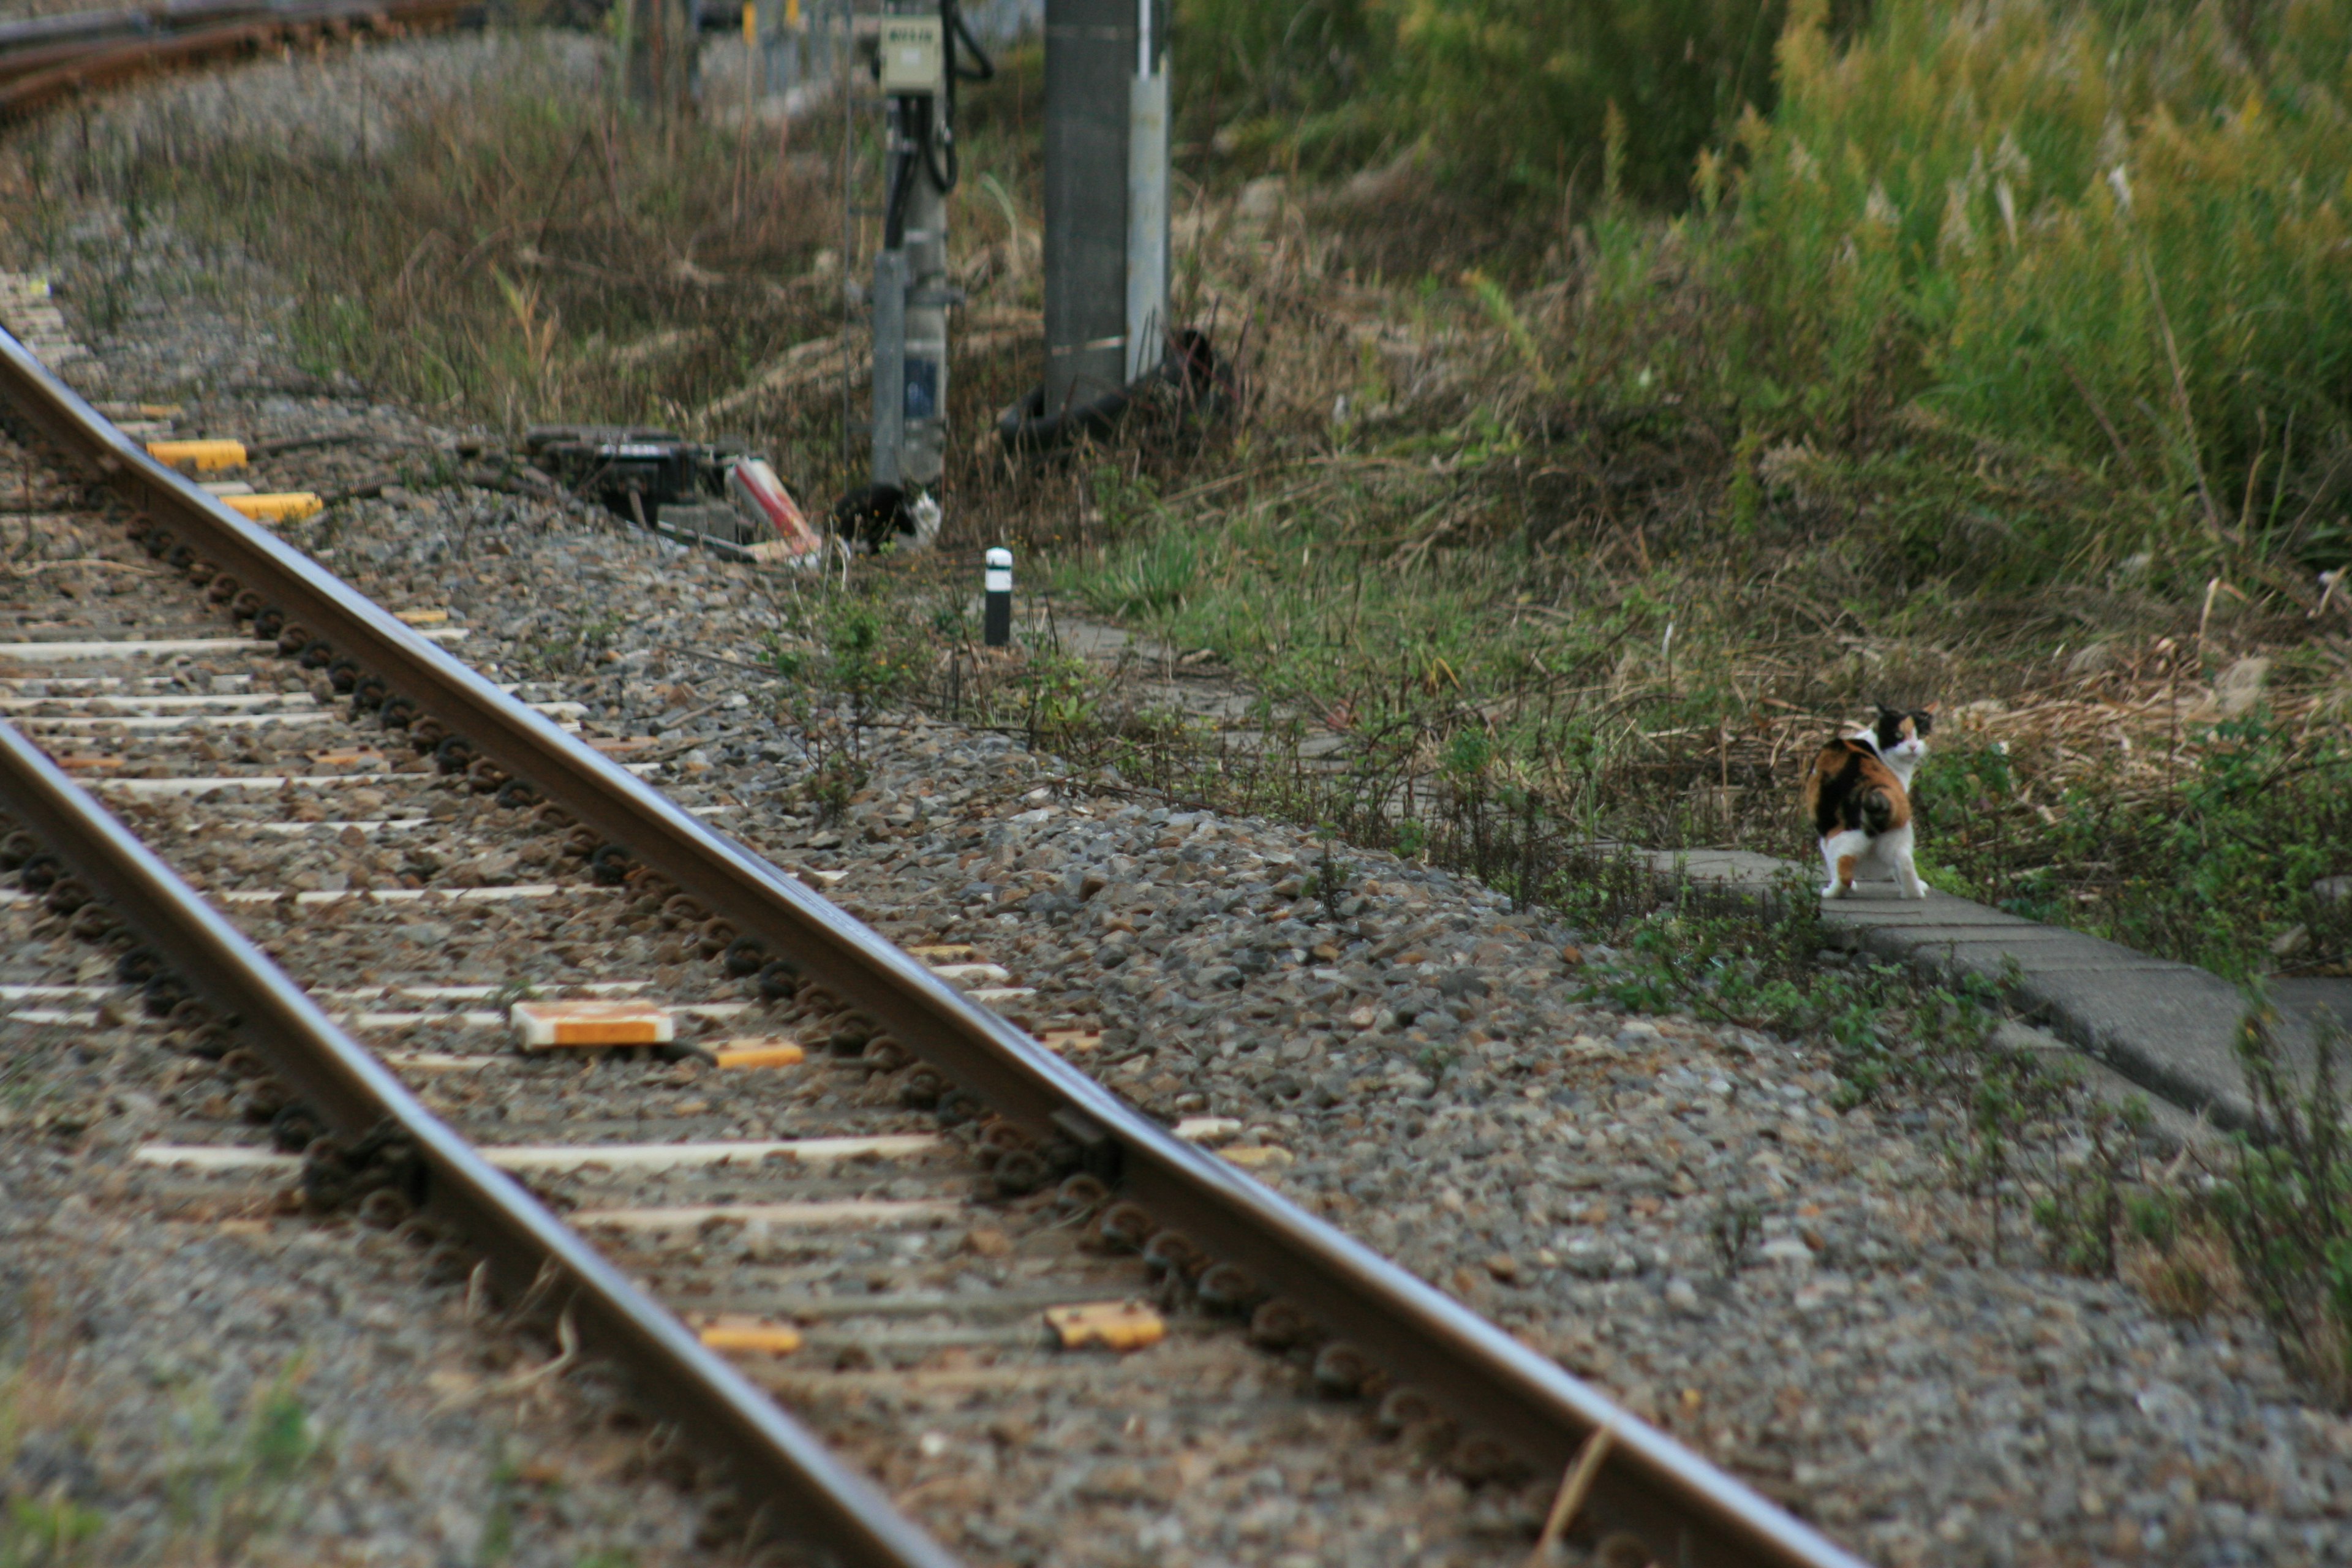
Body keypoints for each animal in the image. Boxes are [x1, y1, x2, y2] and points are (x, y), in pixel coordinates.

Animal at [1796, 705, 1928, 902]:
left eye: (1919, 734)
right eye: (1899, 735)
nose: (1913, 747)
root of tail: (1877, 790)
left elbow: (1832, 864)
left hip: (1841, 836)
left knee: (1843, 868)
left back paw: (1832, 892)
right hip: (1898, 835)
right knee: (1905, 863)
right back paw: (1913, 894)